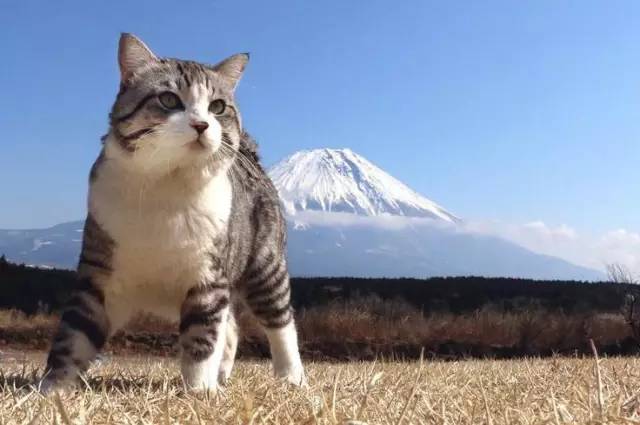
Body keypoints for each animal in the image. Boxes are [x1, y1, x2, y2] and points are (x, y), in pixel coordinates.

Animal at [41, 33, 306, 390]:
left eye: (217, 107)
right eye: (168, 99)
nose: (201, 124)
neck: (166, 185)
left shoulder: (207, 279)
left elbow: (201, 340)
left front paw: (200, 390)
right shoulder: (99, 275)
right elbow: (74, 334)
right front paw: (52, 389)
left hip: (265, 266)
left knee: (280, 323)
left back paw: (291, 377)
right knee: (232, 328)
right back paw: (223, 376)